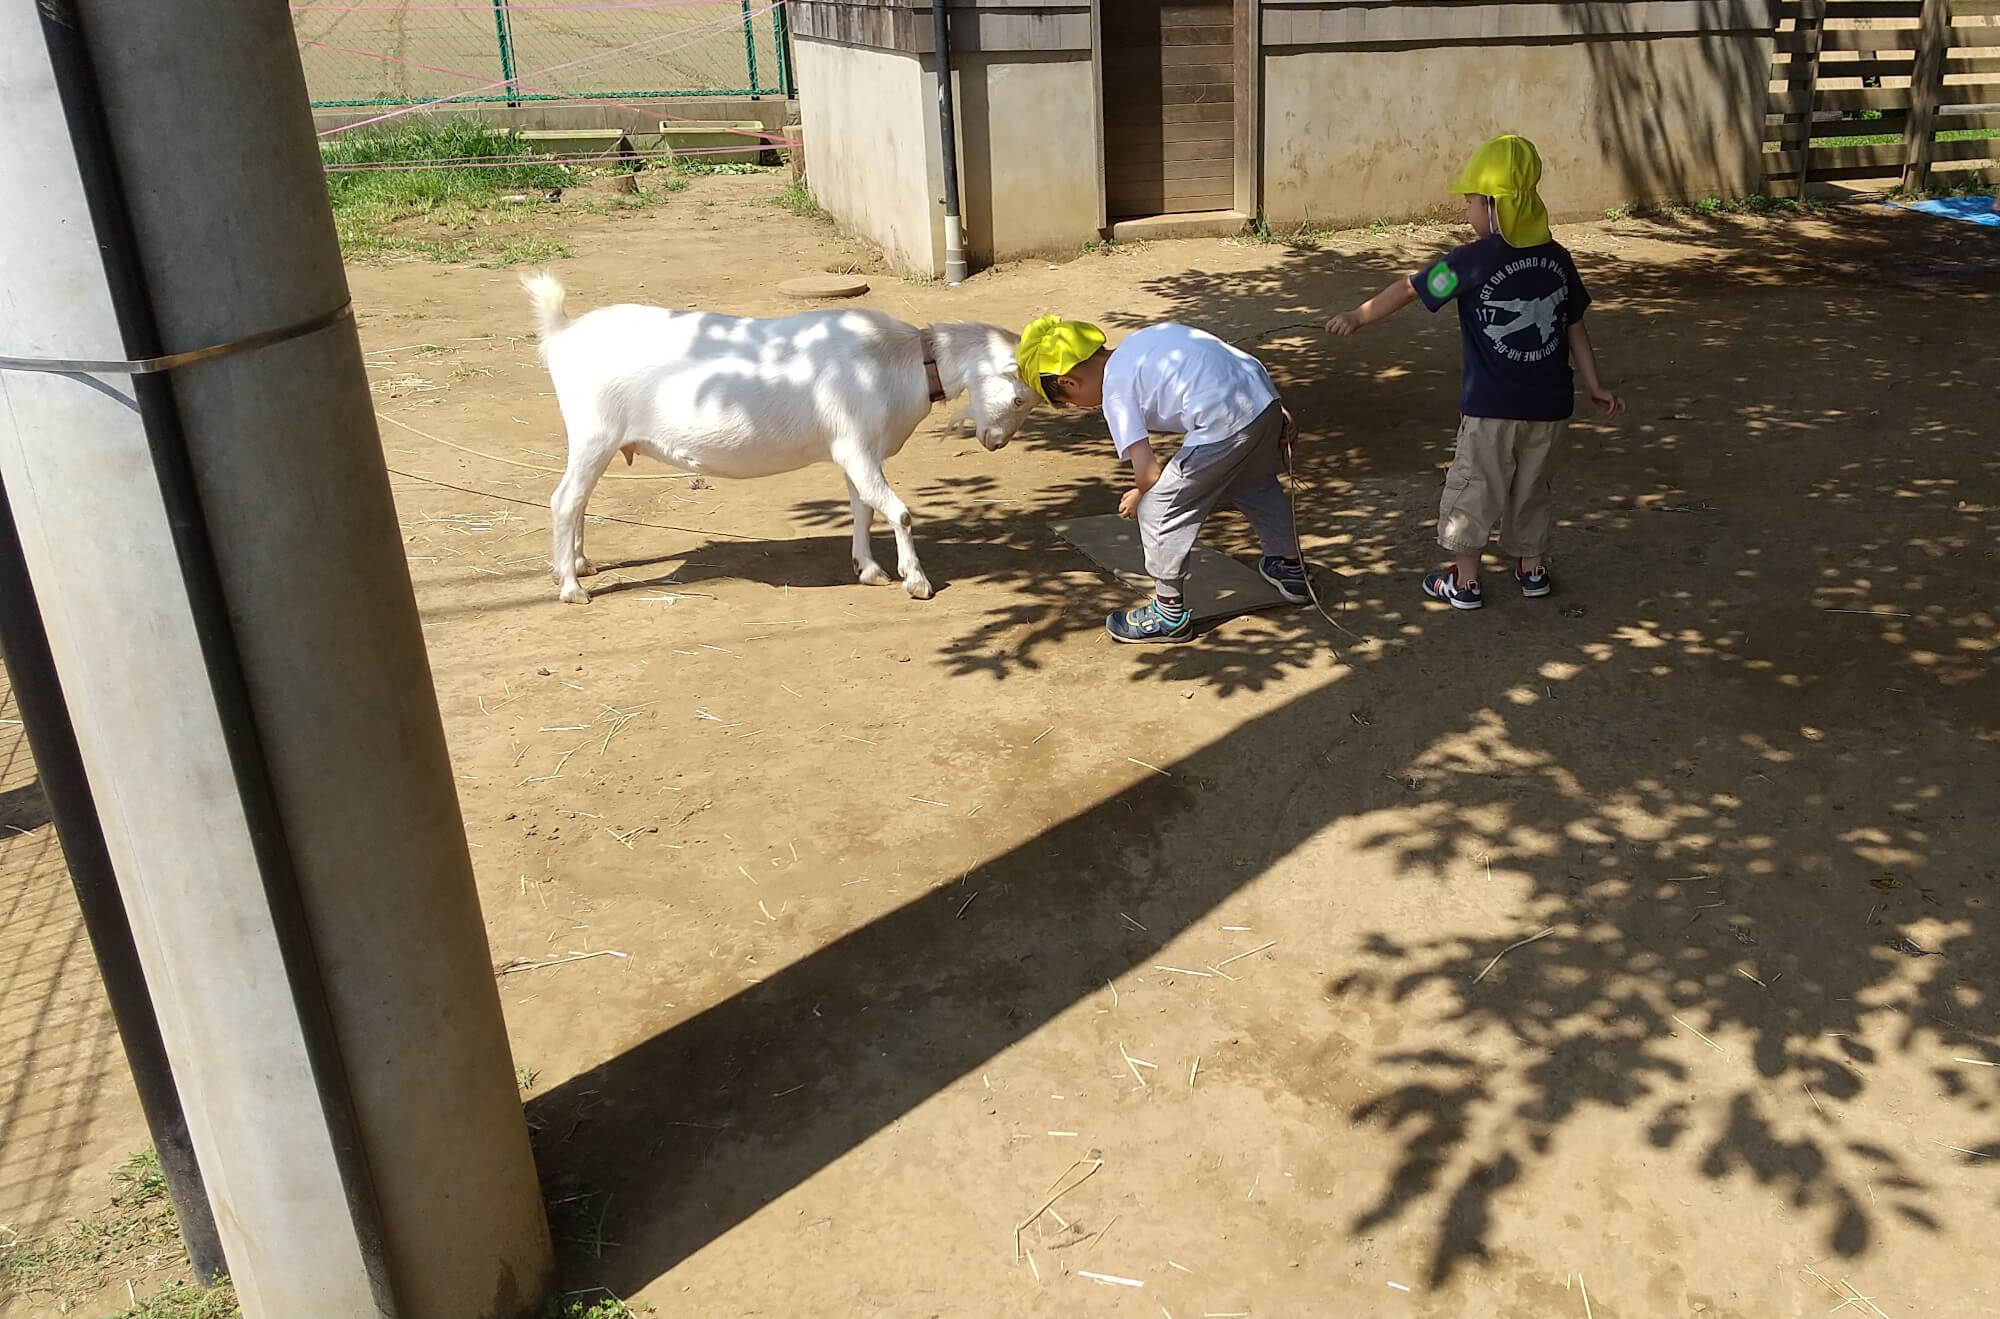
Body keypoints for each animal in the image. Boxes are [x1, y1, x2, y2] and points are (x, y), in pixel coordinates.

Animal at [524, 277, 1040, 607]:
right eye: (1018, 398)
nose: (995, 443)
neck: (899, 359)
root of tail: (562, 333)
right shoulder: (855, 445)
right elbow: (900, 511)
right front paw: (915, 581)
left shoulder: (856, 452)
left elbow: (863, 508)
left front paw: (868, 570)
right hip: (594, 431)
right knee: (564, 500)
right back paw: (571, 588)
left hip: (598, 440)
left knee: (579, 500)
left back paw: (580, 564)